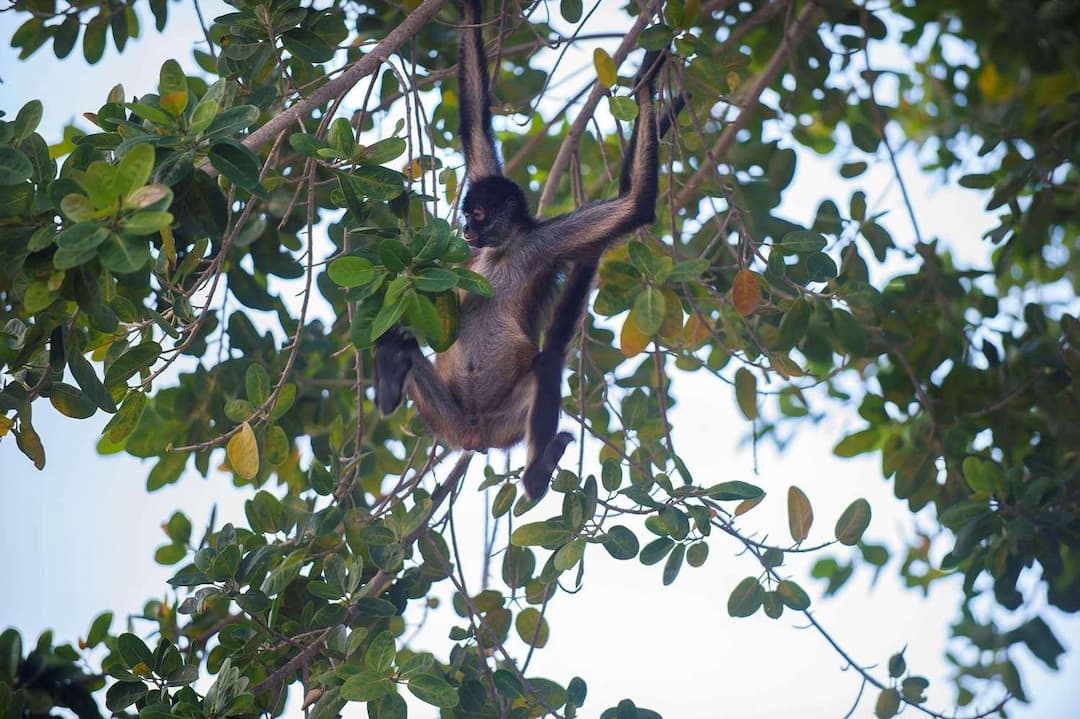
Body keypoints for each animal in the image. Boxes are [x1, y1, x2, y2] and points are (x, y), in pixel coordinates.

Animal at [371, 0, 673, 496]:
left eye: (477, 215)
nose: (465, 232)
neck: (503, 249)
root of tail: (473, 433)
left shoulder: (547, 242)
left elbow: (635, 207)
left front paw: (648, 88)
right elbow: (474, 121)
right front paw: (469, 9)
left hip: (503, 422)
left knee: (547, 364)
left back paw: (534, 478)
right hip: (445, 414)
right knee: (401, 337)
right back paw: (392, 377)